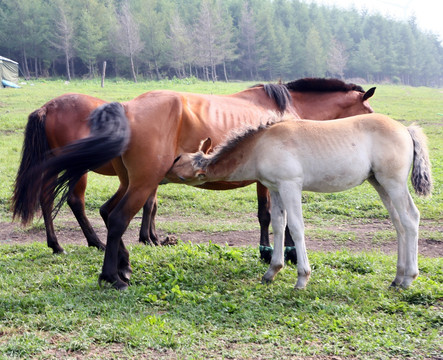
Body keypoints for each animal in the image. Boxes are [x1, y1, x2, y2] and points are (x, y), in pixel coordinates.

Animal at [12, 78, 376, 290]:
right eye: (368, 108)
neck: (286, 108)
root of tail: (126, 108)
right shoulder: (269, 179)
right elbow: (269, 216)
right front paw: (273, 252)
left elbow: (274, 217)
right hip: (139, 180)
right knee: (112, 217)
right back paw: (111, 275)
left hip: (130, 181)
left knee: (104, 211)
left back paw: (118, 263)